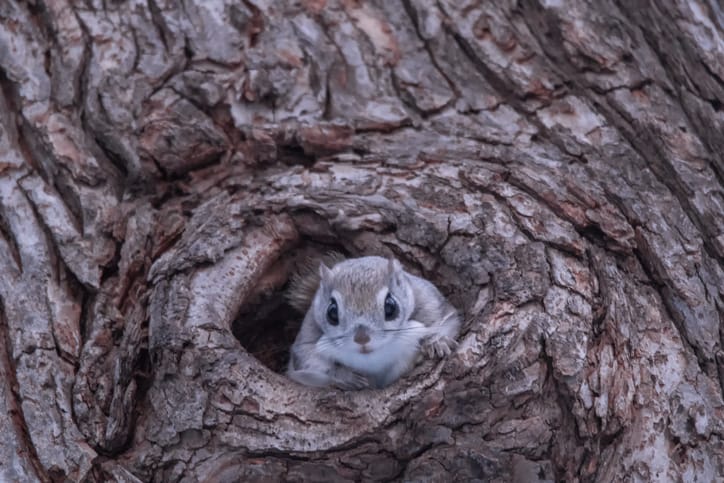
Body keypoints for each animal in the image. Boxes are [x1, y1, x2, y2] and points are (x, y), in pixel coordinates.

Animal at [286, 255, 460, 389]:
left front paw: (437, 342)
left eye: (390, 306)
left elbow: (447, 319)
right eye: (332, 312)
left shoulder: (429, 301)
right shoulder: (309, 330)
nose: (362, 338)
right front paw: (347, 377)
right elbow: (307, 357)